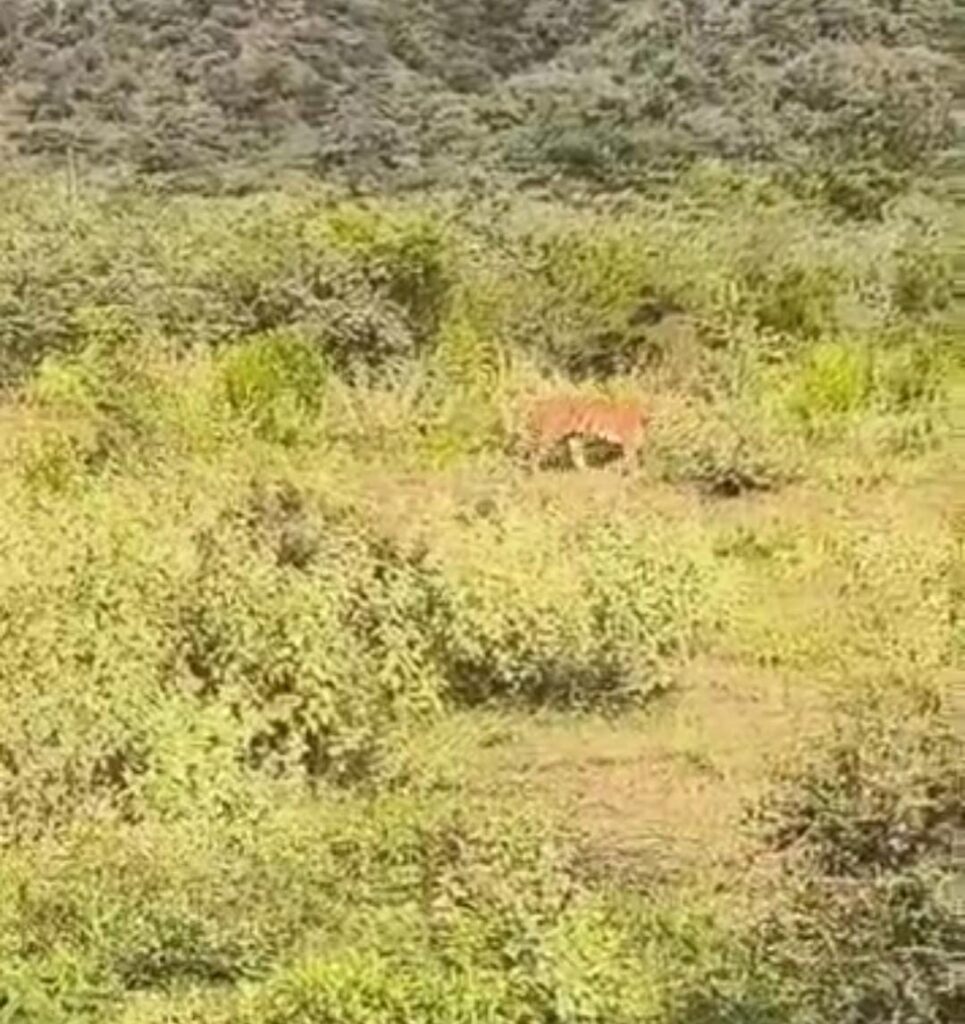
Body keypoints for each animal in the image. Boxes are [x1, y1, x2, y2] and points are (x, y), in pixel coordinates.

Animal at [521, 394, 650, 473]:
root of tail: (542, 405)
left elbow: (621, 461)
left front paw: (610, 469)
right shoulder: (629, 446)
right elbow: (631, 462)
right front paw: (636, 475)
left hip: (574, 437)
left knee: (576, 456)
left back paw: (588, 472)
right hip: (551, 436)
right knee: (534, 454)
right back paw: (536, 473)